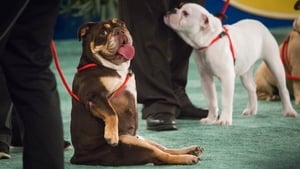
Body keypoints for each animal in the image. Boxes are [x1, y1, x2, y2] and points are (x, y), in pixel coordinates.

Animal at [69, 18, 203, 165]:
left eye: (121, 24)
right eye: (103, 33)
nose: (119, 31)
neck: (113, 67)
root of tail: (79, 157)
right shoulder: (95, 96)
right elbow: (112, 113)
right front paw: (111, 135)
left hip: (141, 139)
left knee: (163, 149)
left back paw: (191, 150)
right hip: (132, 144)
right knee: (160, 156)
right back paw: (187, 158)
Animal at [164, 1, 298, 125]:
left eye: (185, 13)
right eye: (179, 7)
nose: (171, 10)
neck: (208, 42)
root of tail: (258, 23)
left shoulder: (227, 77)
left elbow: (226, 101)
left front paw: (224, 120)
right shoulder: (206, 79)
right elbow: (211, 101)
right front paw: (211, 119)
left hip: (274, 62)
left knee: (283, 89)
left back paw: (289, 111)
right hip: (245, 70)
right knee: (251, 88)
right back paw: (252, 109)